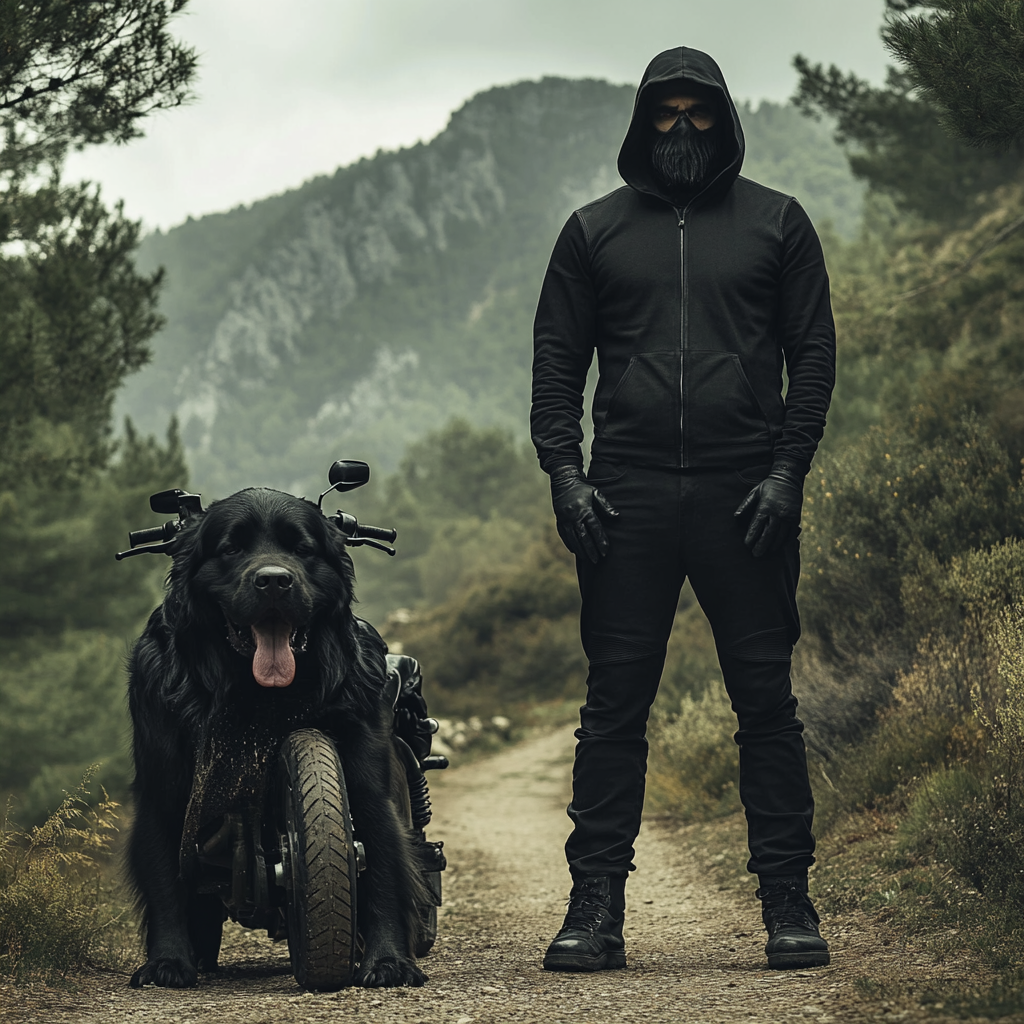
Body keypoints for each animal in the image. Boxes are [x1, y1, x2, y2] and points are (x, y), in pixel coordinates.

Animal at [124, 491, 428, 987]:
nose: (273, 582)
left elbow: (383, 863)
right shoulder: (162, 787)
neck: (262, 699)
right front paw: (168, 960)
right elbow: (164, 878)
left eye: (302, 548)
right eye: (231, 548)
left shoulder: (366, 782)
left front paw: (387, 959)